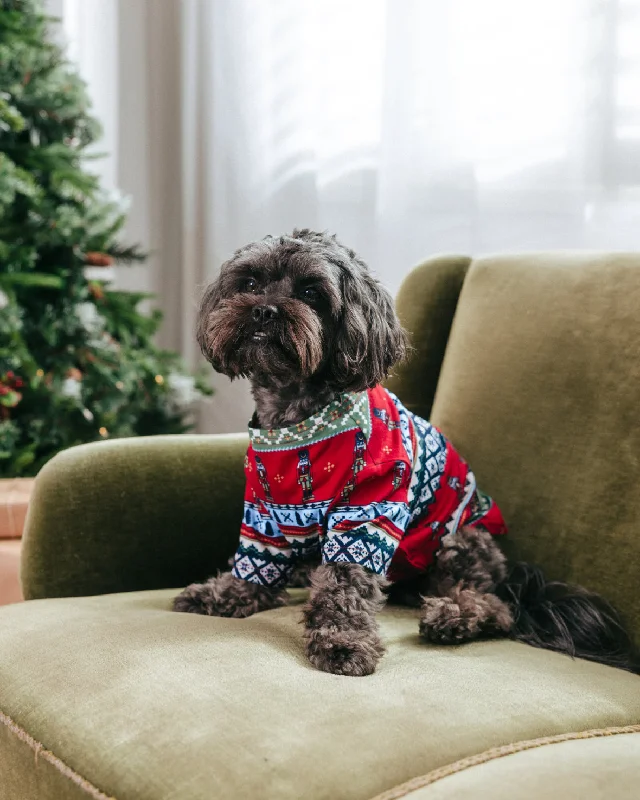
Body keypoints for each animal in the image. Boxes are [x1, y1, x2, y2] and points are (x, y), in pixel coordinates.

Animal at [172, 228, 632, 680]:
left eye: (311, 293)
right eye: (249, 284)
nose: (264, 311)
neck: (297, 420)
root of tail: (514, 578)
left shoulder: (367, 511)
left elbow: (345, 583)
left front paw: (342, 640)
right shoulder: (263, 512)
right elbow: (257, 560)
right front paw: (226, 594)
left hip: (458, 542)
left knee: (498, 608)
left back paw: (453, 617)